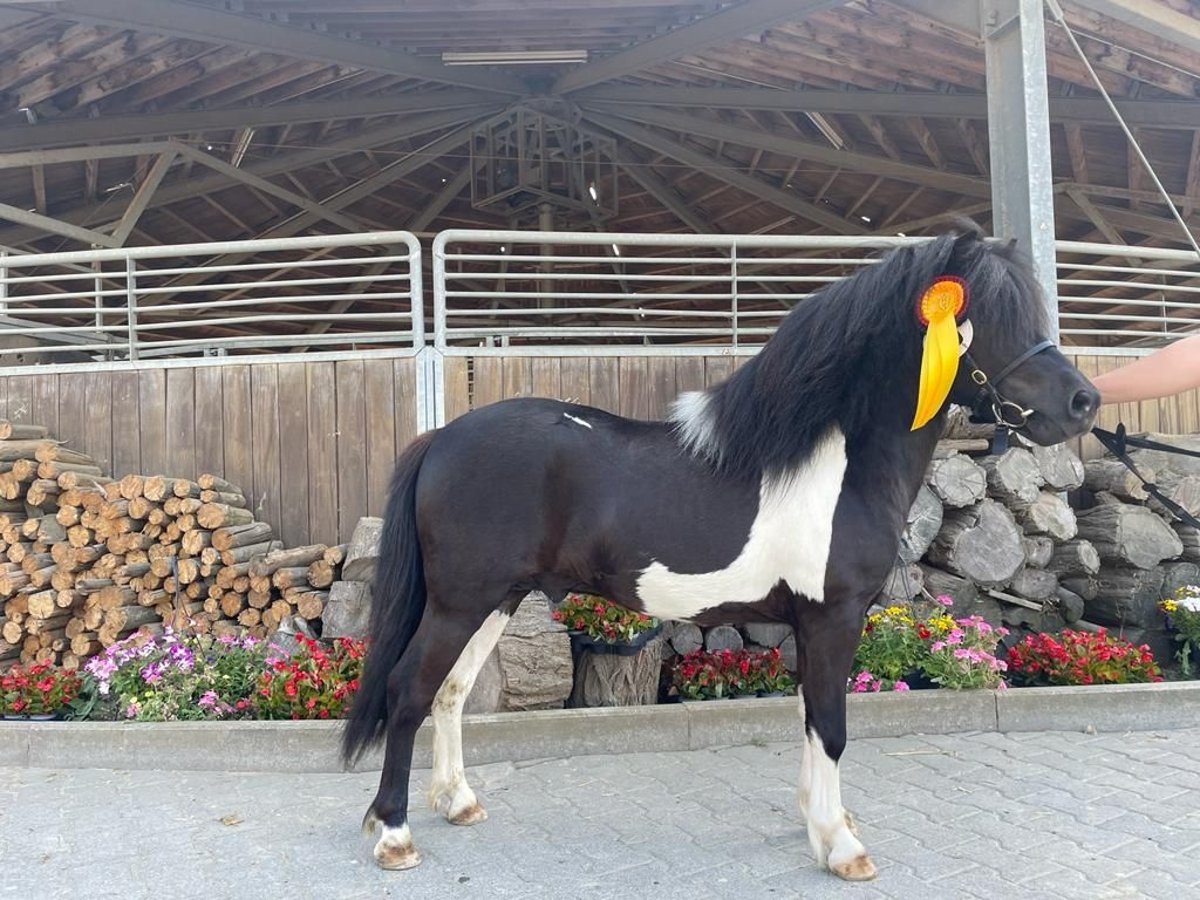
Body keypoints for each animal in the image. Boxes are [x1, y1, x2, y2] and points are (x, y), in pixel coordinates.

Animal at [343, 230, 1099, 883]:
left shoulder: (810, 625)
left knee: (449, 692)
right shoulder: (833, 618)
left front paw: (817, 823)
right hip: (460, 602)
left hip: (496, 600)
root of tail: (441, 438)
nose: (1083, 401)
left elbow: (809, 718)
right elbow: (831, 726)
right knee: (408, 692)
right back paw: (394, 835)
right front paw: (842, 846)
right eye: (989, 315)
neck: (836, 464)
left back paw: (457, 802)